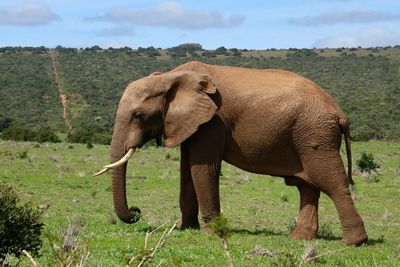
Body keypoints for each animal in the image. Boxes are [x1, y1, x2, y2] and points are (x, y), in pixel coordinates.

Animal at [95, 61, 368, 247]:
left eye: (139, 115)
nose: (135, 212)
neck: (170, 77)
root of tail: (340, 113)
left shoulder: (213, 121)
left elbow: (201, 168)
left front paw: (211, 234)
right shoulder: (192, 124)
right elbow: (186, 170)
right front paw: (185, 228)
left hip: (315, 136)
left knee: (332, 183)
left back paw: (353, 242)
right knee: (308, 187)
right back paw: (299, 239)